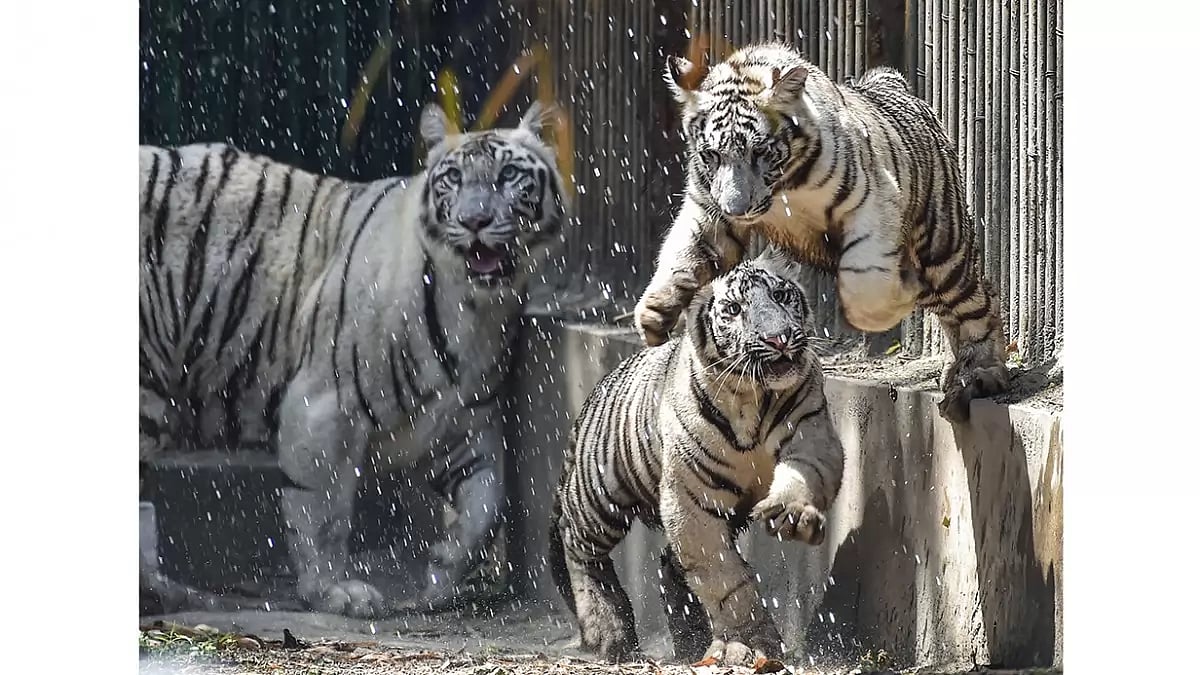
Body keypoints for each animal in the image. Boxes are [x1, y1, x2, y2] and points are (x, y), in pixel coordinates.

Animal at [139, 102, 567, 619]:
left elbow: (488, 501)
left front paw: (443, 570)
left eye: (508, 175)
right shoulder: (323, 403)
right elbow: (323, 511)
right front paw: (333, 591)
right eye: (453, 179)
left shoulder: (462, 423)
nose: (475, 220)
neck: (477, 310)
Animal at [548, 247, 845, 666]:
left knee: (668, 564)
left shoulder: (811, 435)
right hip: (600, 495)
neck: (753, 399)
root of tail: (596, 392)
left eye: (781, 295)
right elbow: (723, 578)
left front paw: (792, 513)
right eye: (734, 309)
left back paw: (689, 639)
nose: (779, 339)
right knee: (578, 545)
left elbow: (803, 475)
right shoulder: (691, 498)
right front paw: (749, 644)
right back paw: (609, 632)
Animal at [634, 42, 1009, 423]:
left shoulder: (871, 198)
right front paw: (654, 313)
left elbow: (865, 281)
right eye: (711, 154)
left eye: (759, 151)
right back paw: (955, 370)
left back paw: (979, 375)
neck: (782, 188)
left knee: (978, 301)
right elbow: (683, 252)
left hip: (941, 249)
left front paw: (882, 311)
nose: (736, 209)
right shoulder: (708, 210)